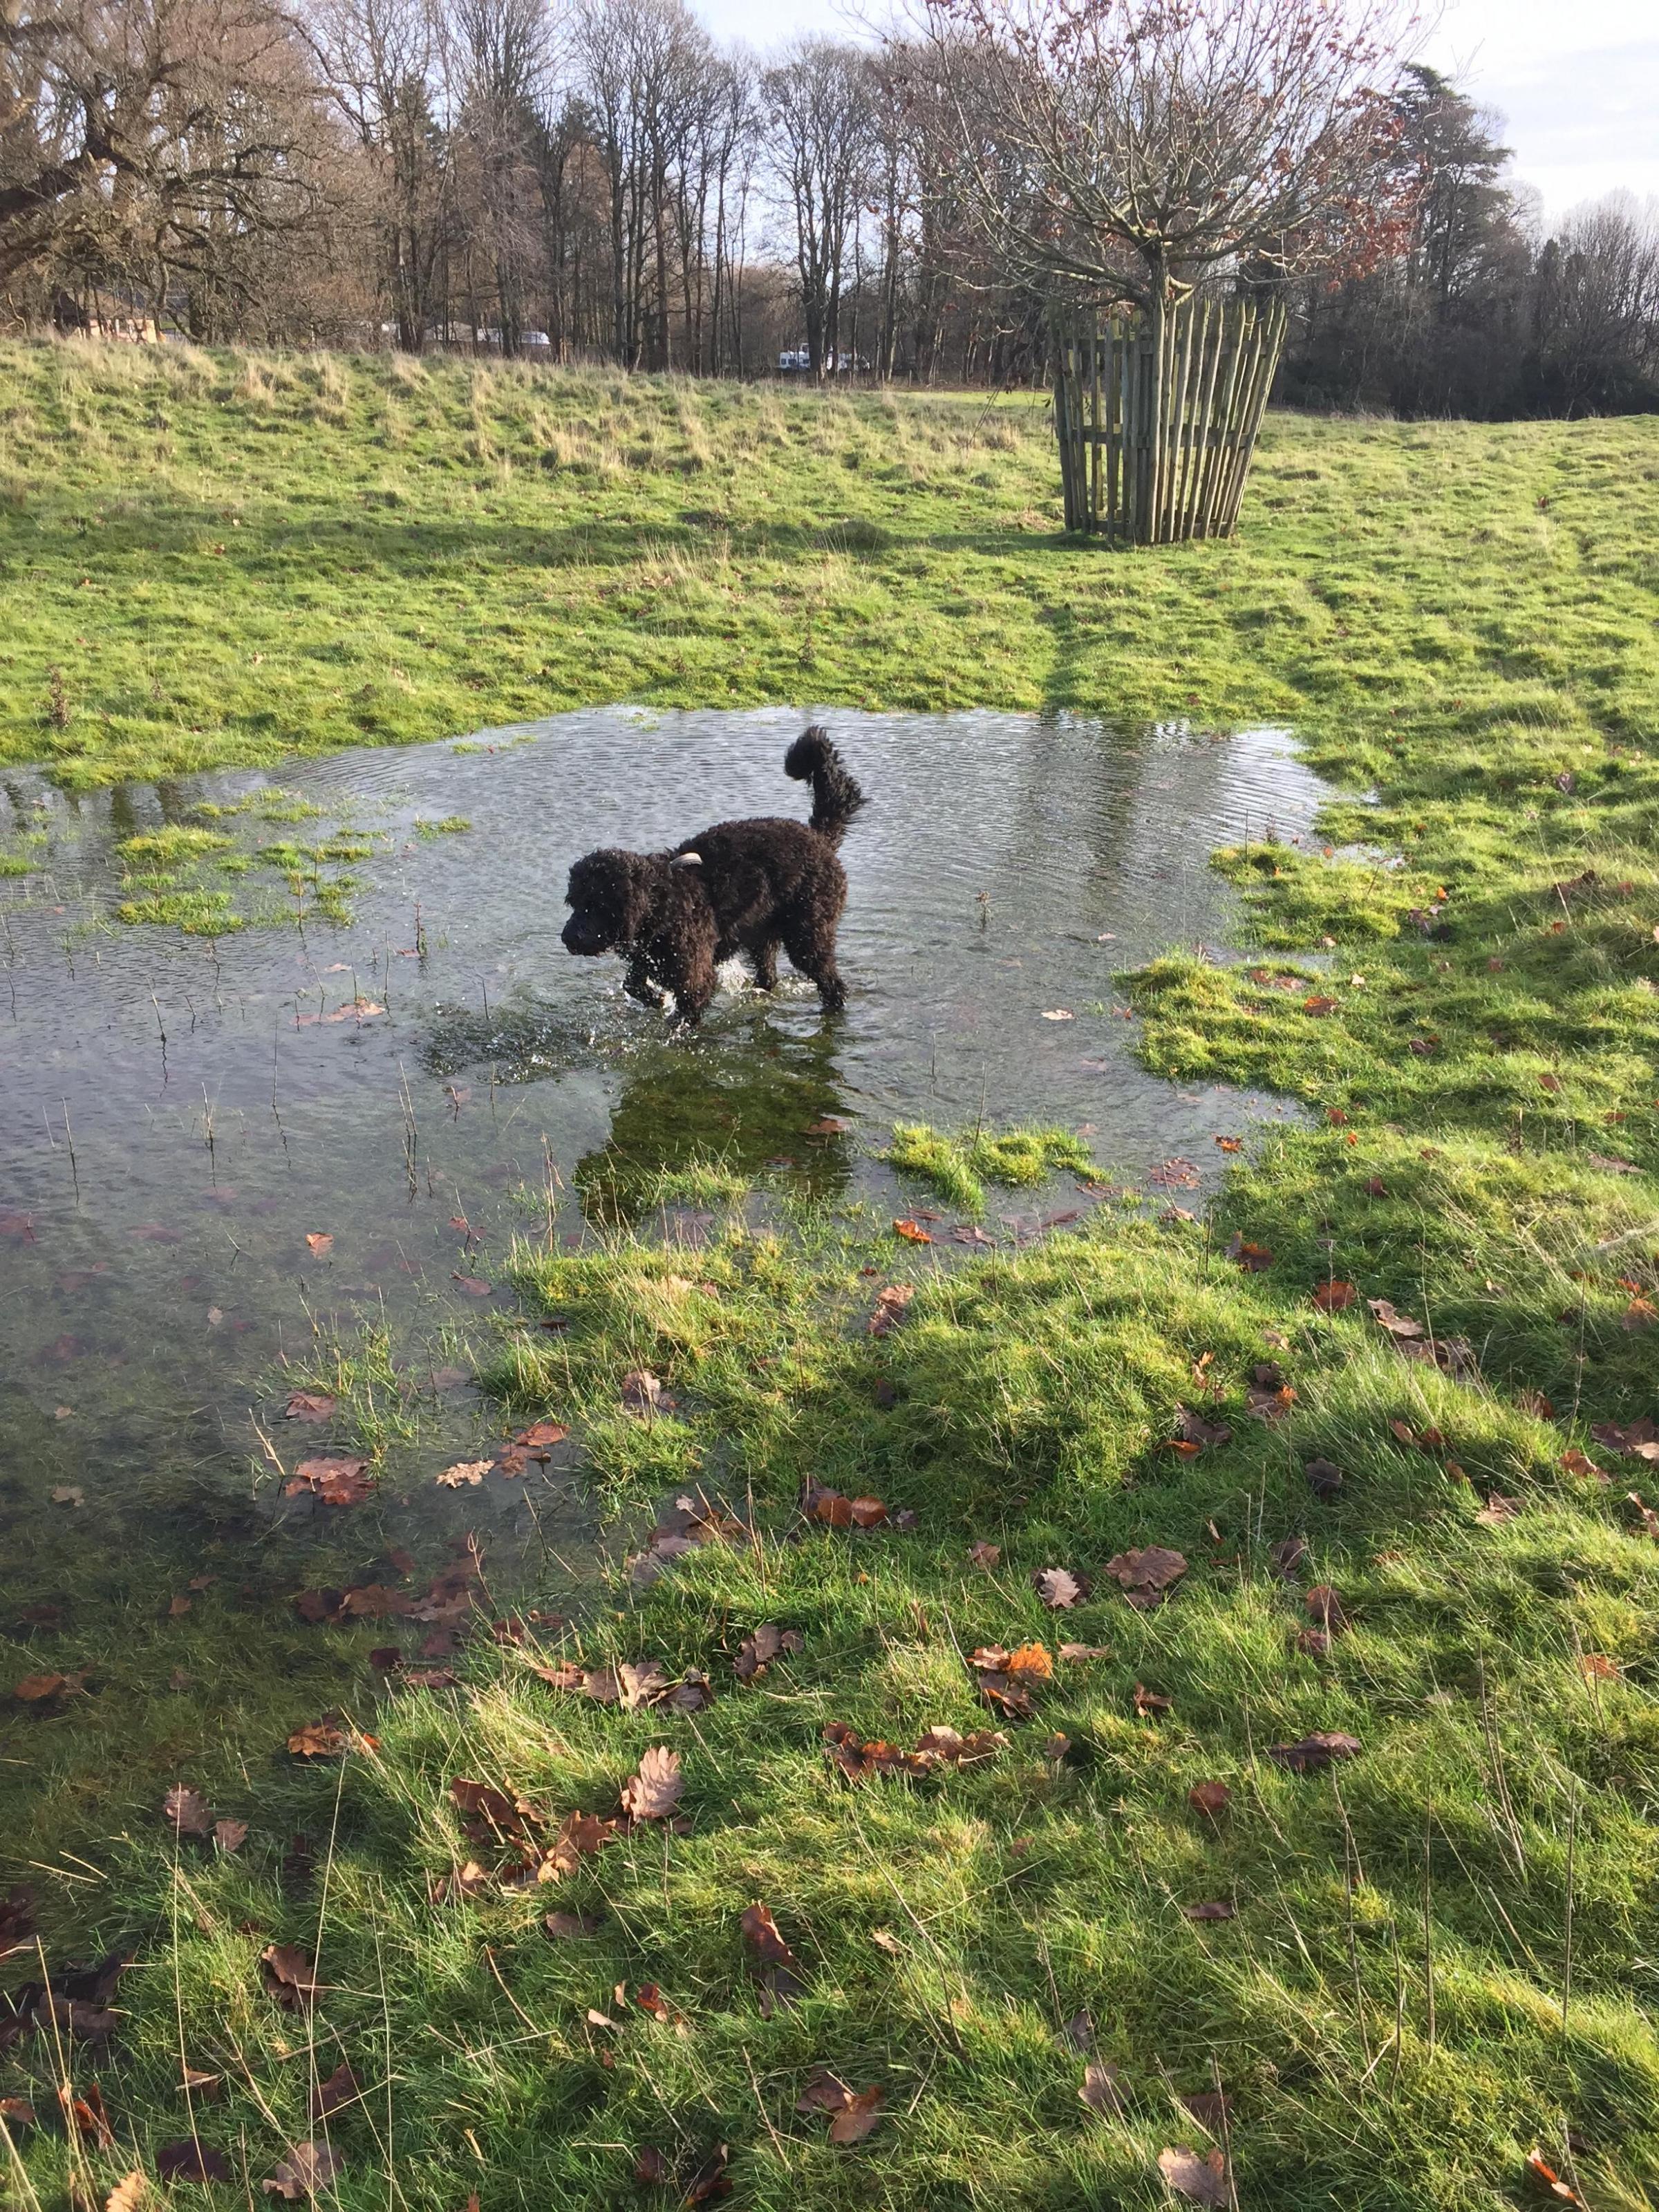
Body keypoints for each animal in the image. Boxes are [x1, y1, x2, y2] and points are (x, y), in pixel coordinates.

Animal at [561, 734, 871, 1026]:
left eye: (597, 904)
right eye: (574, 903)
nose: (567, 937)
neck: (663, 903)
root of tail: (820, 838)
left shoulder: (695, 976)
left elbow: (684, 1012)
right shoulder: (650, 959)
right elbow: (632, 983)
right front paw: (655, 999)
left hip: (808, 936)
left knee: (833, 985)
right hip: (762, 934)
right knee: (769, 977)